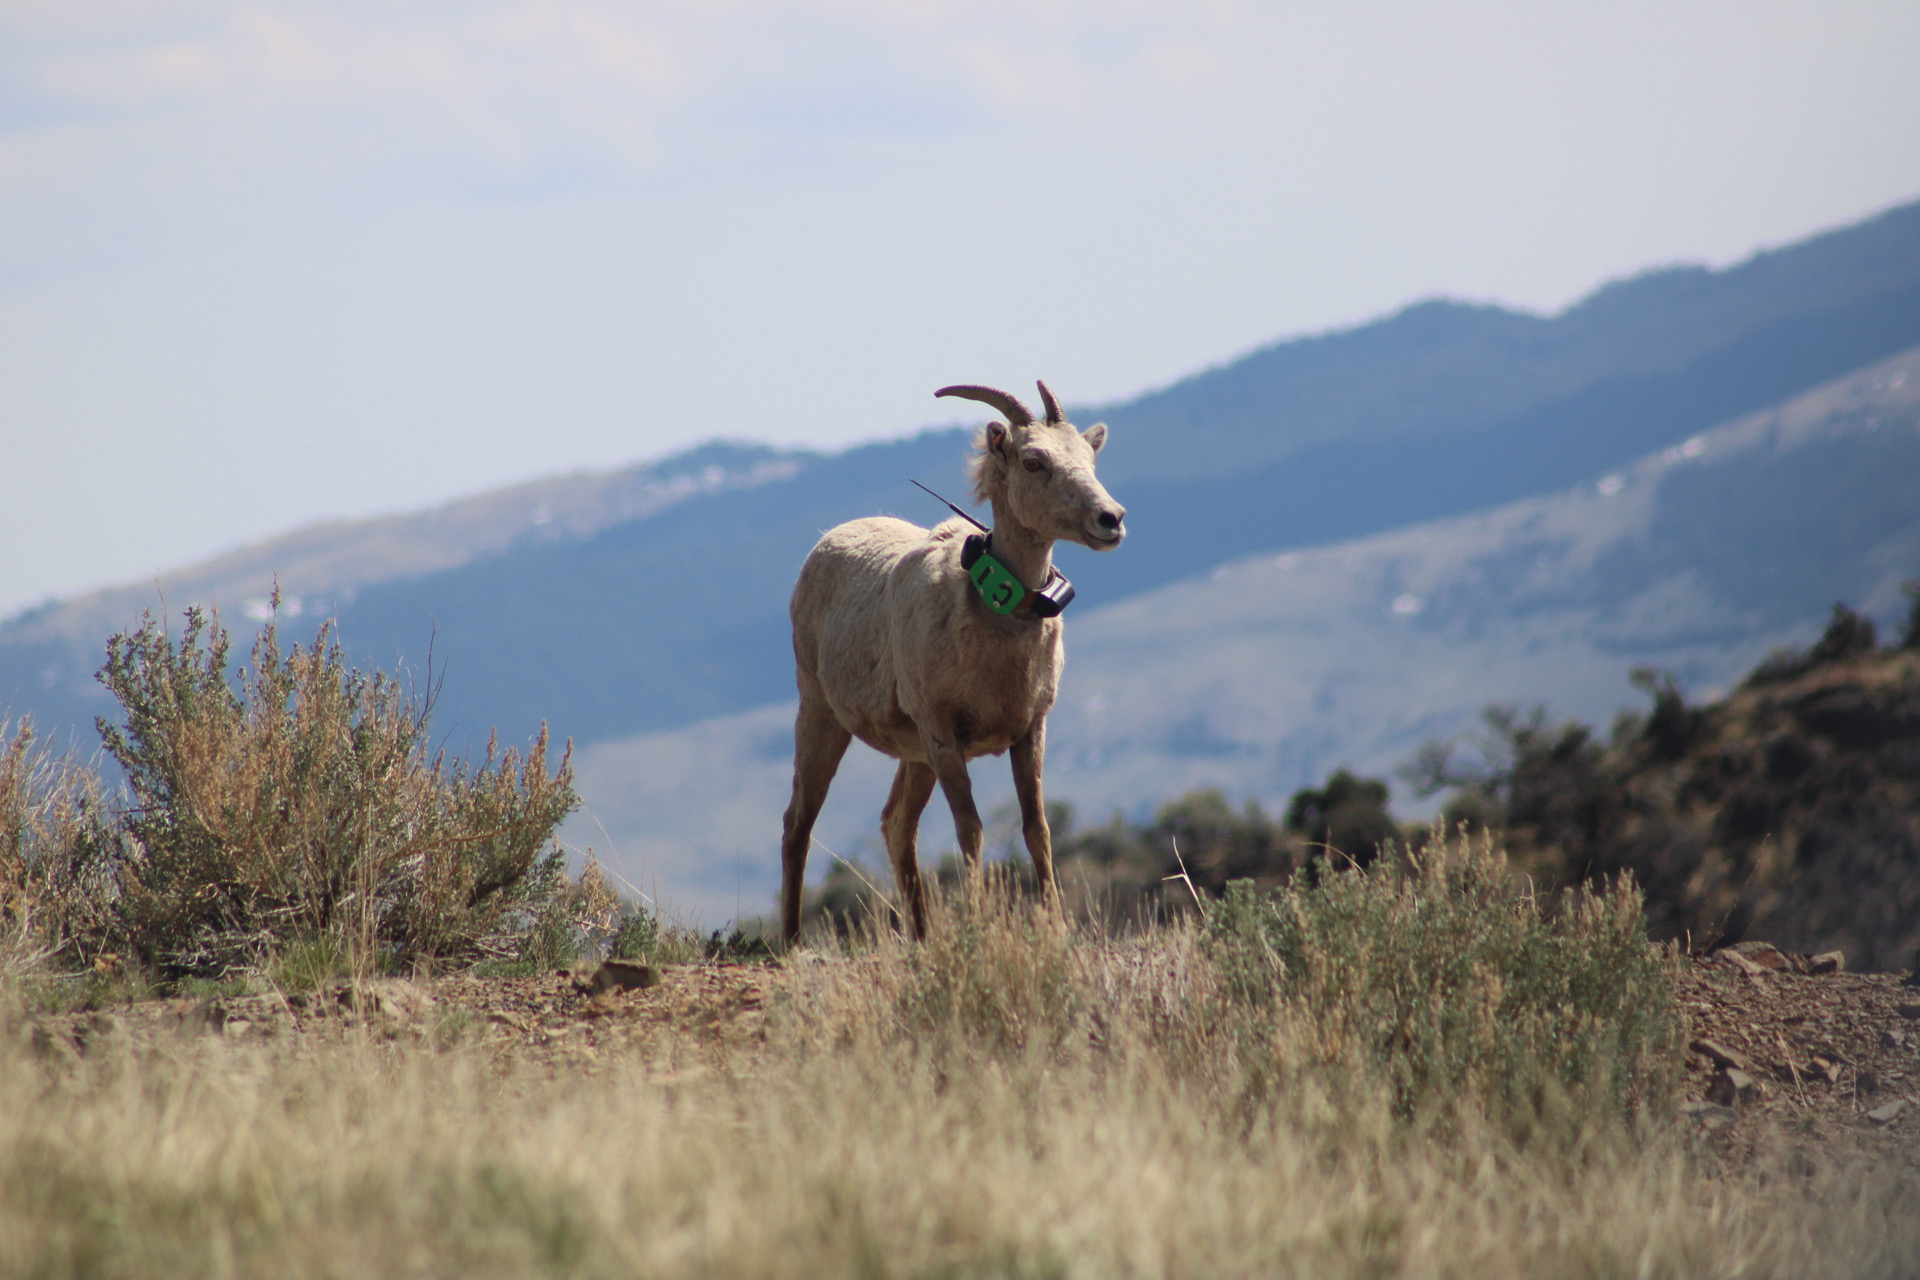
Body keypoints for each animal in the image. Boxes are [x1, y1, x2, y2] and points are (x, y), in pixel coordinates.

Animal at [779, 381, 1127, 945]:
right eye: (1033, 461)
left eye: (1090, 458)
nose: (1111, 519)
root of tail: (823, 543)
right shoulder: (944, 734)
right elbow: (972, 828)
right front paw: (979, 927)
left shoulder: (1030, 730)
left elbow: (1037, 829)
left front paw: (1055, 930)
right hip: (823, 714)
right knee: (799, 822)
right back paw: (791, 945)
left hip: (913, 752)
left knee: (897, 825)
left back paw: (922, 937)